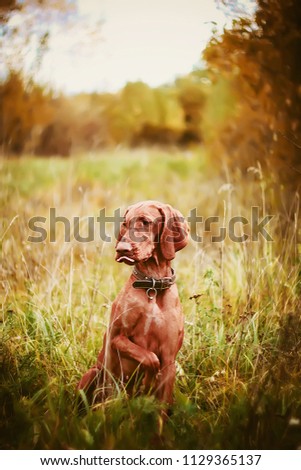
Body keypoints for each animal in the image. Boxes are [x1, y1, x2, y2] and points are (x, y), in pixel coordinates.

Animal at [78, 200, 189, 406]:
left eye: (145, 222)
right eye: (124, 223)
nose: (121, 249)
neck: (152, 287)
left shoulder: (169, 358)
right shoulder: (116, 338)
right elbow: (149, 357)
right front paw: (148, 378)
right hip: (92, 373)